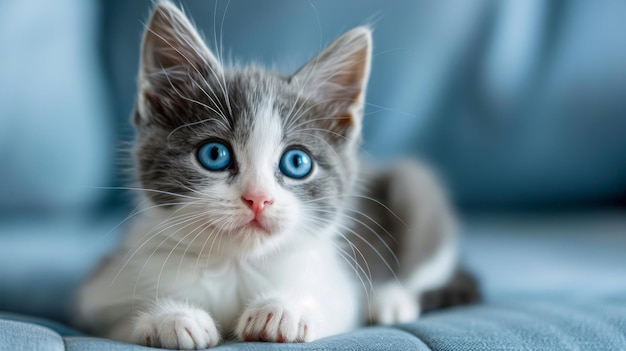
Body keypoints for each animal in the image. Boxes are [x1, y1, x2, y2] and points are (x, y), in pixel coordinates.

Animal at [74, 2, 472, 350]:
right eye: (214, 155)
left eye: (297, 162)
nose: (257, 198)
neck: (236, 266)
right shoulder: (102, 287)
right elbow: (110, 318)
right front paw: (170, 318)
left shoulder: (336, 280)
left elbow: (337, 306)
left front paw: (283, 310)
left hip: (413, 186)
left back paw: (390, 300)